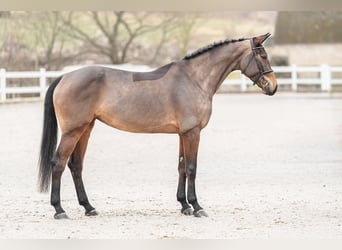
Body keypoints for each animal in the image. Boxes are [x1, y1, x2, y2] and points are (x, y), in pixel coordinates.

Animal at [38, 32, 278, 219]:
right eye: (263, 56)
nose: (273, 86)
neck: (194, 79)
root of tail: (64, 76)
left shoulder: (183, 133)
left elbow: (182, 166)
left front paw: (184, 205)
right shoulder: (193, 133)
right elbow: (192, 168)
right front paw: (197, 206)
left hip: (86, 129)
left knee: (76, 166)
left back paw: (88, 207)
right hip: (72, 131)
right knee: (58, 163)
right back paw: (59, 210)